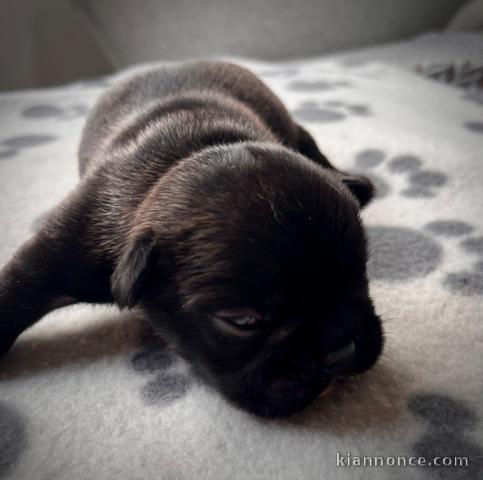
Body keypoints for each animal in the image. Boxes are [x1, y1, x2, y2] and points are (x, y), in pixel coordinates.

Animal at [1, 61, 384, 416]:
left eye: (361, 276)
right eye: (241, 321)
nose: (340, 350)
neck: (189, 154)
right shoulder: (71, 241)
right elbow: (19, 288)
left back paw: (356, 182)